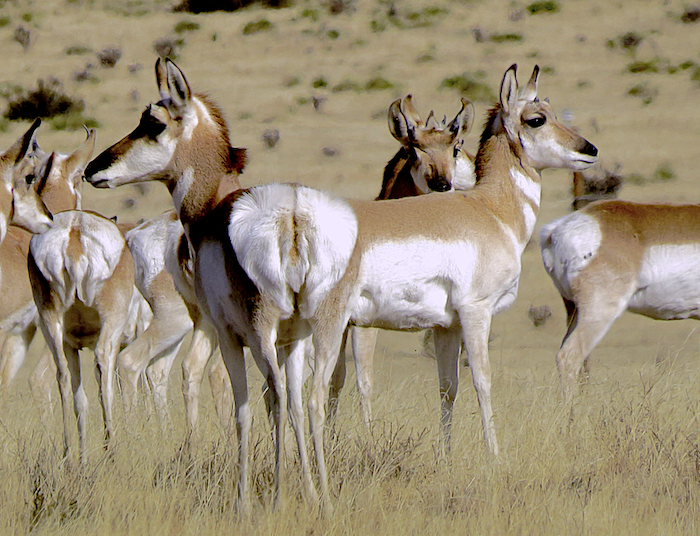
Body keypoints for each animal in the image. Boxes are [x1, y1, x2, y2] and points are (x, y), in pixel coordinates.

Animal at [85, 60, 328, 508]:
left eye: (154, 122)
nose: (95, 170)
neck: (212, 213)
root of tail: (289, 223)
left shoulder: (231, 335)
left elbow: (244, 407)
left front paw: (244, 498)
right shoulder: (287, 340)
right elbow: (292, 405)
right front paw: (310, 493)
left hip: (251, 334)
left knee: (273, 395)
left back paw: (275, 496)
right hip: (310, 332)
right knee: (306, 400)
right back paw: (320, 496)